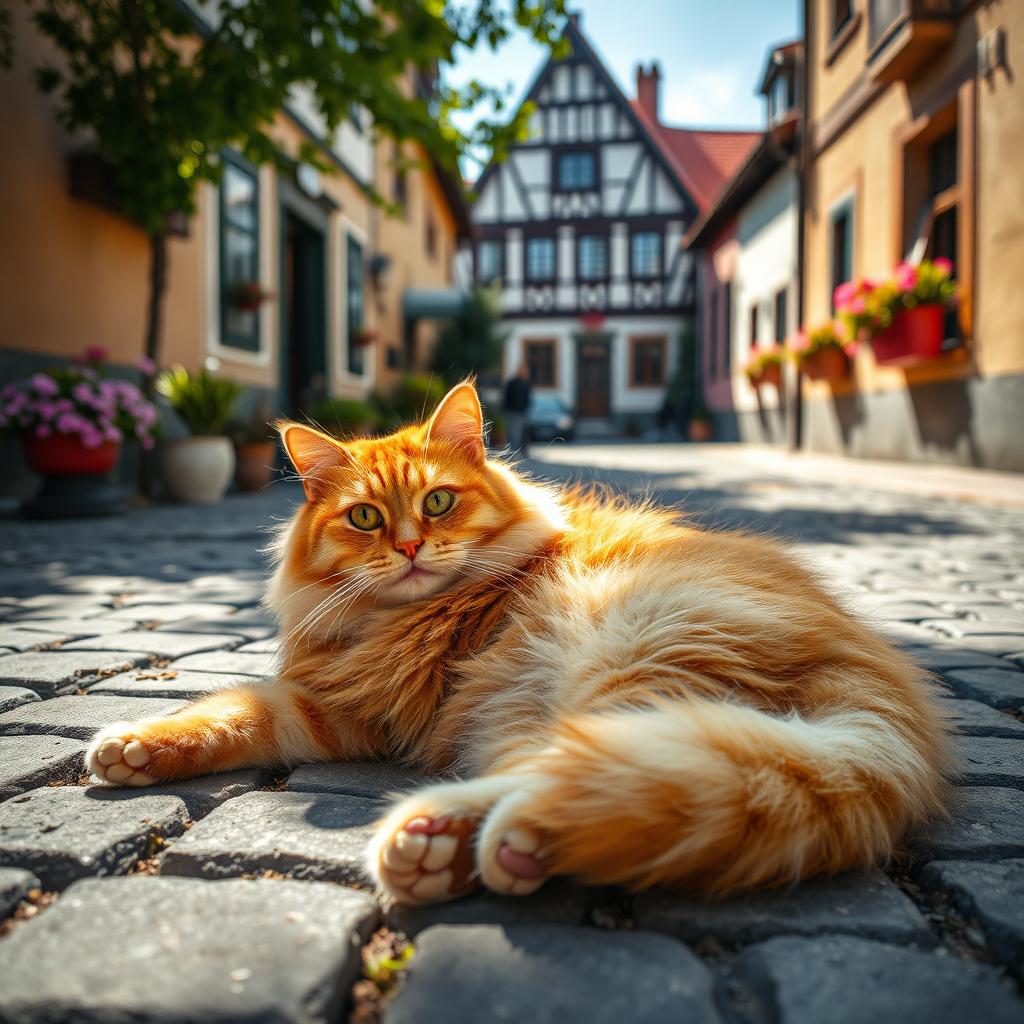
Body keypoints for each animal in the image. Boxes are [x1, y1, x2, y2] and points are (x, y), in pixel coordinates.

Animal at [83, 385, 946, 905]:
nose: (408, 548)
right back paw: (457, 853)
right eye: (365, 518)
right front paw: (135, 750)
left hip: (620, 653)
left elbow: (236, 706)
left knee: (580, 772)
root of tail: (875, 672)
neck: (394, 623)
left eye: (438, 503)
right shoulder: (335, 710)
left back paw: (448, 838)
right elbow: (229, 713)